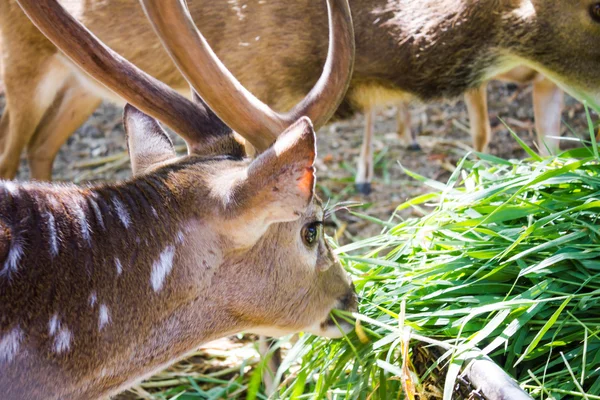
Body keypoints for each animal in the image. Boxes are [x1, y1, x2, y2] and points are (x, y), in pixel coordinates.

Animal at [1, 0, 600, 183]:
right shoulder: (254, 78)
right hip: (22, 63)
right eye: (594, 9)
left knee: (41, 145)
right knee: (12, 152)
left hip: (81, 86)